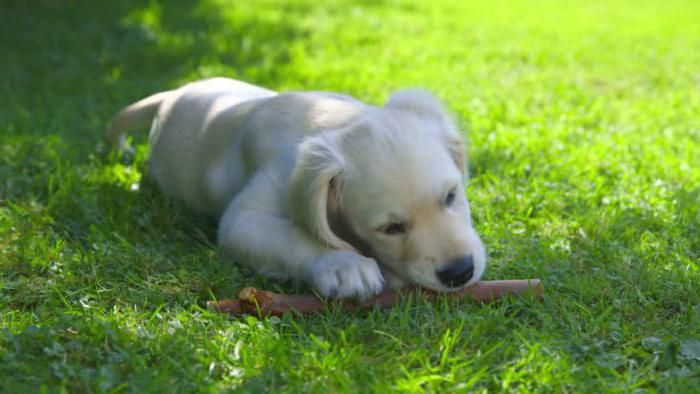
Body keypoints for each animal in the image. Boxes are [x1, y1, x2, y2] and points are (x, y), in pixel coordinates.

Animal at [105, 77, 486, 298]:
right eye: (391, 228)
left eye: (451, 196)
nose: (460, 272)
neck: (330, 120)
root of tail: (172, 95)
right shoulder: (247, 214)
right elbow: (292, 236)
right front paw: (343, 265)